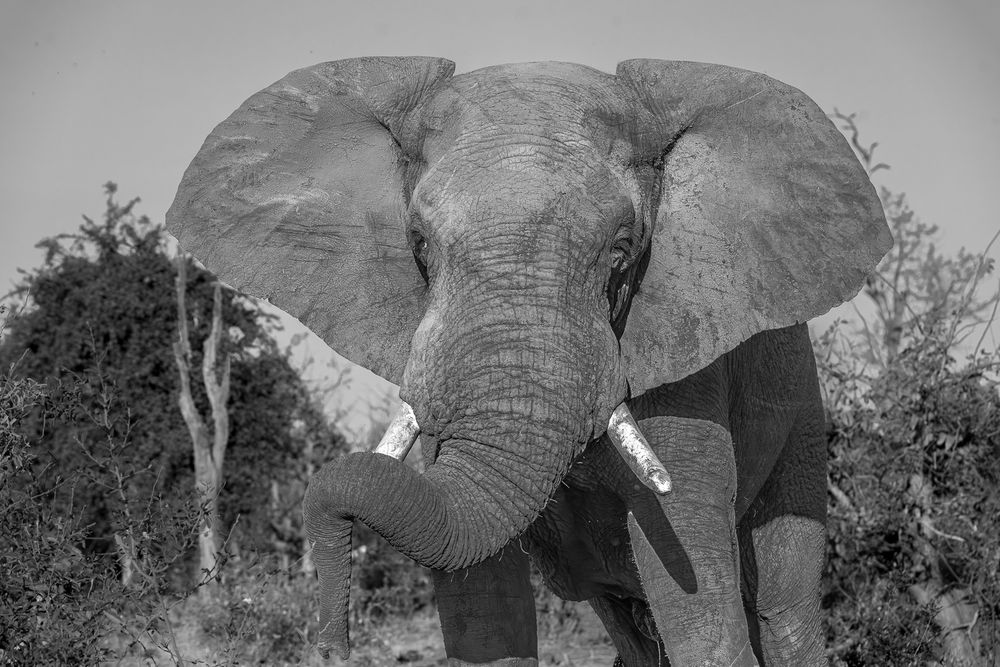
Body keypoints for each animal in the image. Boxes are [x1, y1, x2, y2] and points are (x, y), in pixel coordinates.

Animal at [166, 57, 891, 665]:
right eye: (419, 245)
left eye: (622, 250)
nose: (331, 642)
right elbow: (480, 597)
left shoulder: (684, 354)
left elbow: (693, 595)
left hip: (801, 416)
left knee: (782, 602)